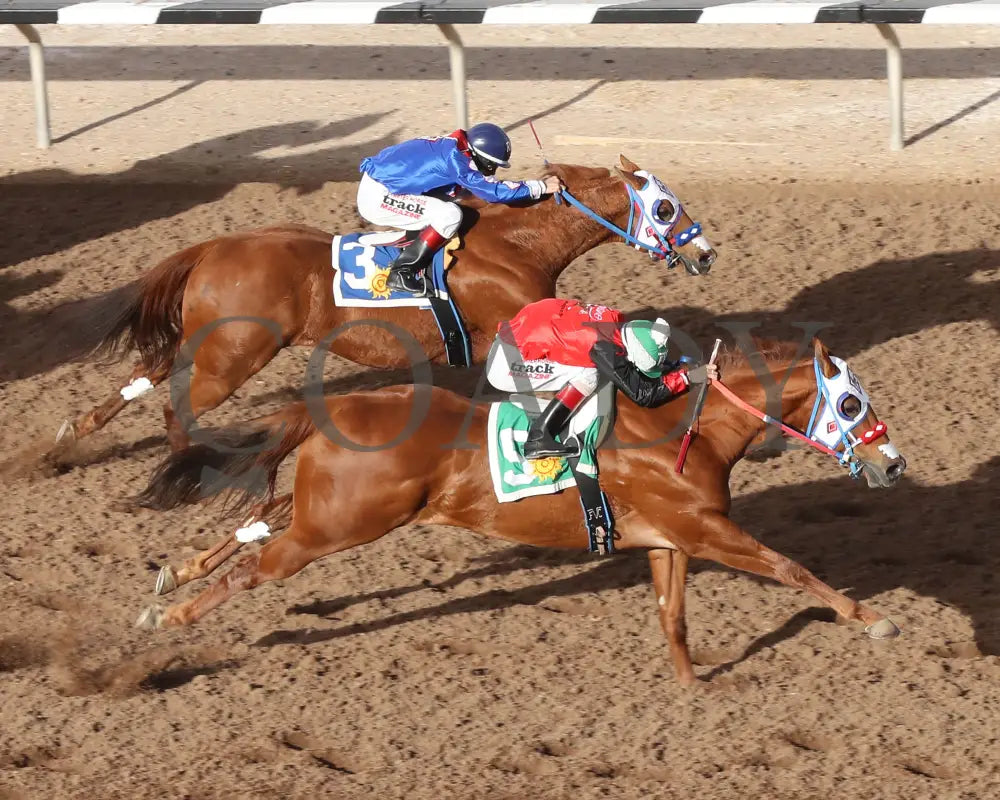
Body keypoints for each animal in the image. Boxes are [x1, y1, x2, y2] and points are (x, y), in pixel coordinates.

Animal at [54, 156, 716, 454]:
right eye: (664, 208)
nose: (707, 255)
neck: (515, 243)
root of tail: (215, 245)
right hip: (233, 356)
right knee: (176, 408)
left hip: (210, 340)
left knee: (148, 372)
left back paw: (71, 437)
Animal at [137, 336, 912, 680]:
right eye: (850, 405)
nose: (895, 464)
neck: (685, 434)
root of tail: (333, 409)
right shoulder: (706, 530)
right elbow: (790, 568)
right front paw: (872, 619)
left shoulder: (670, 540)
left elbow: (674, 616)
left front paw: (693, 683)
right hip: (336, 526)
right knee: (253, 568)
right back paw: (171, 617)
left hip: (327, 515)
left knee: (253, 527)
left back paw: (172, 579)